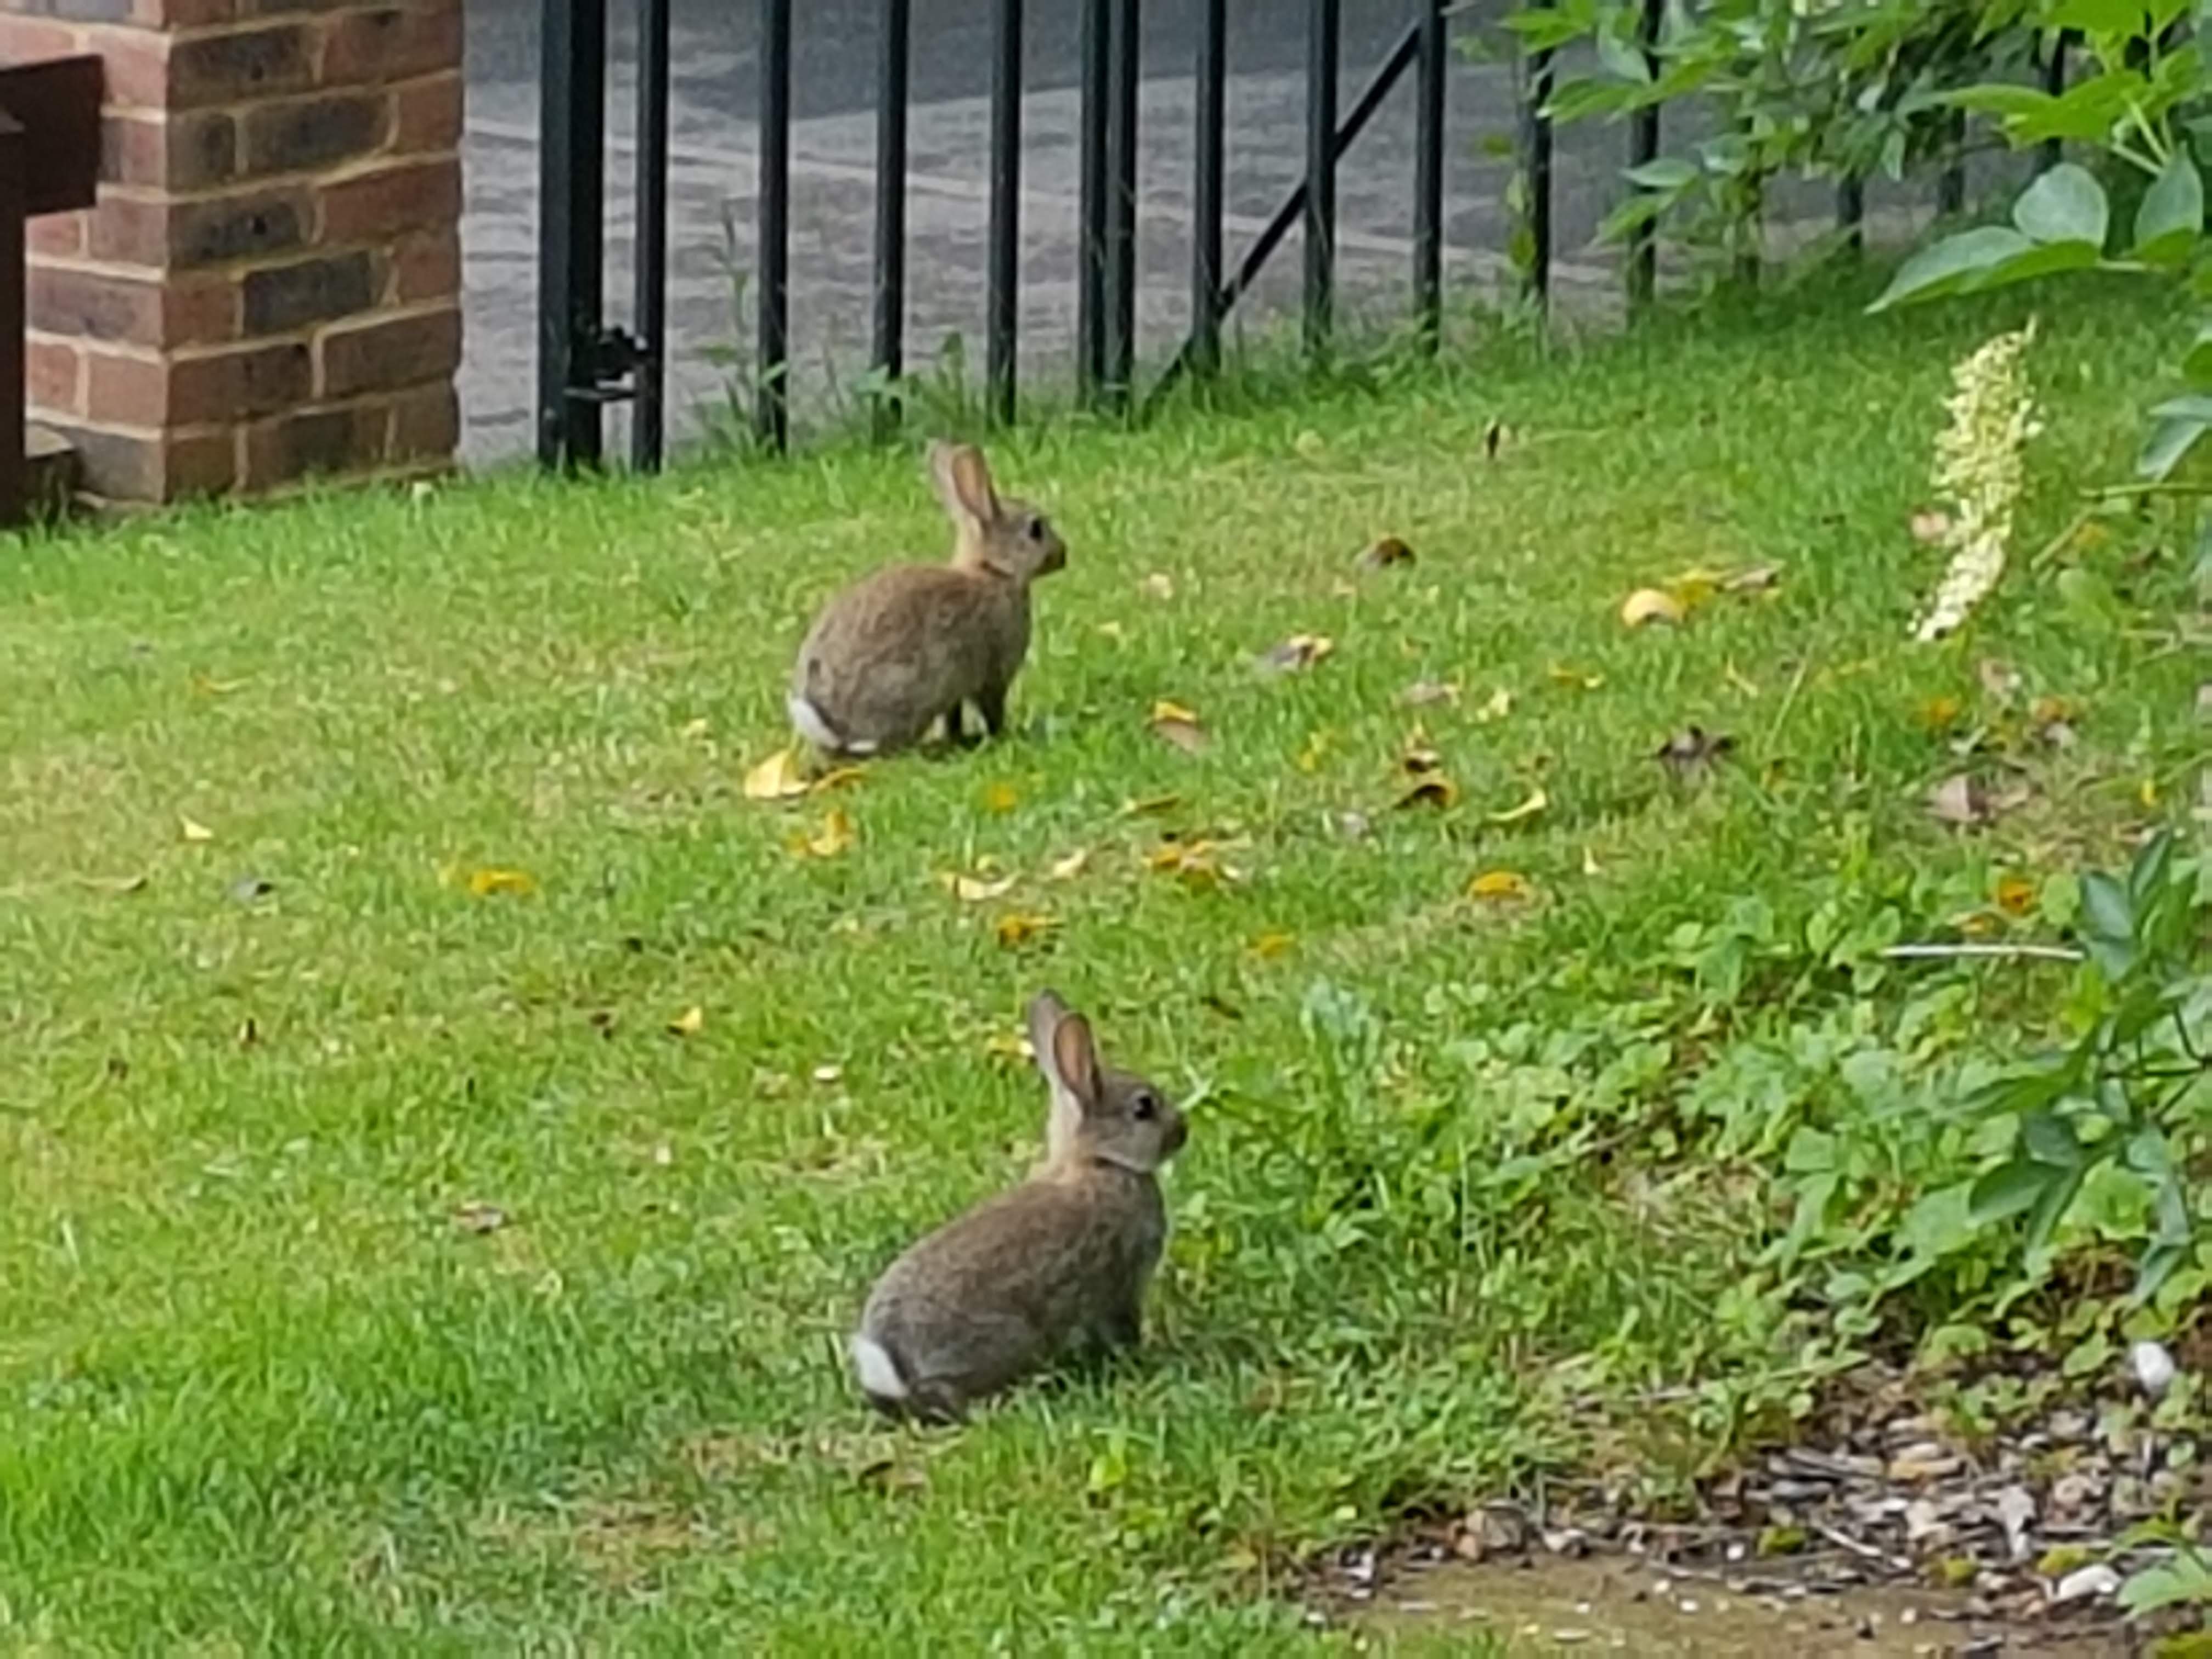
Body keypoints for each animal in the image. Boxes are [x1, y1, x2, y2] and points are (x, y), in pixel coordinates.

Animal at [787, 440, 1066, 759]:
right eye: (1036, 529)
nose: (1063, 554)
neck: (993, 572)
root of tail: (831, 729)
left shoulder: (956, 692)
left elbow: (953, 717)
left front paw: (958, 737)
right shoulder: (992, 676)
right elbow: (991, 710)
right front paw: (1002, 734)